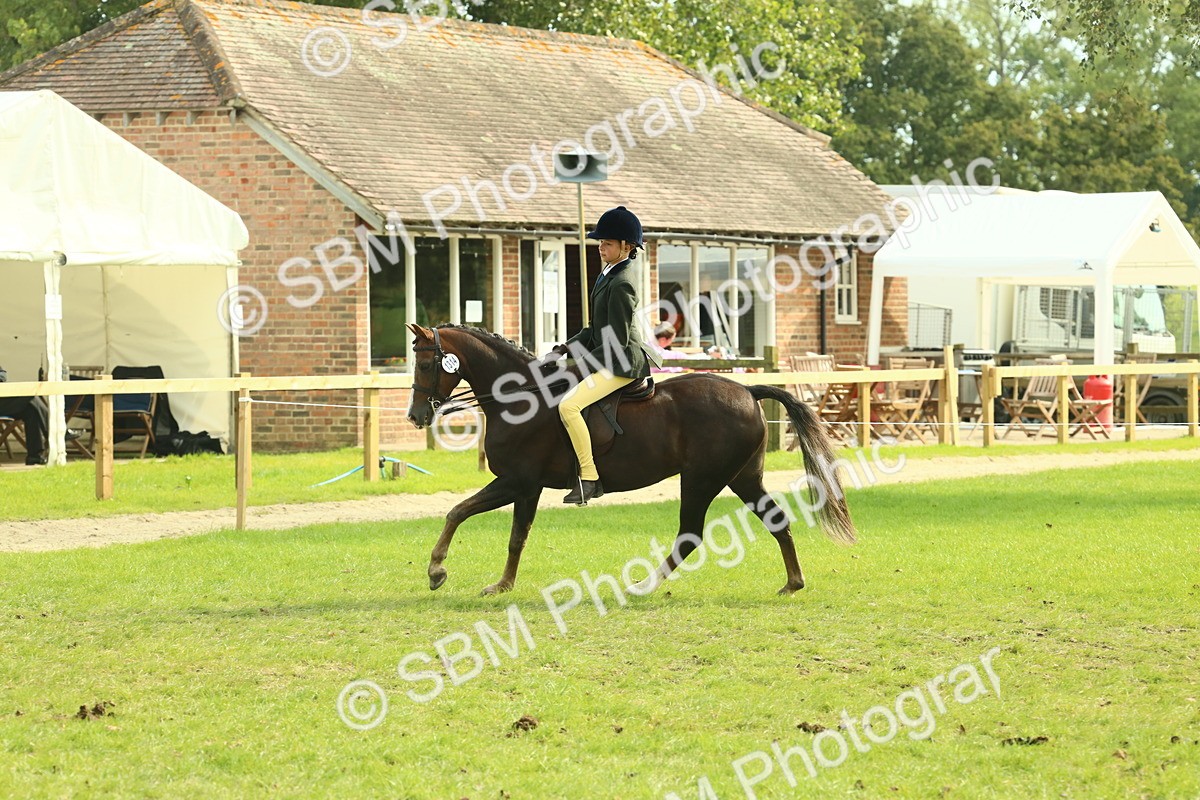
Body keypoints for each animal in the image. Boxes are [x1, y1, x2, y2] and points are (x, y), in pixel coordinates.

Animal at [404, 323, 856, 596]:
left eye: (426, 363)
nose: (415, 416)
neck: (521, 398)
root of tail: (748, 390)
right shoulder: (526, 487)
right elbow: (516, 536)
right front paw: (502, 585)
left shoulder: (517, 481)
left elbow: (458, 511)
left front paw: (437, 571)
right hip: (743, 477)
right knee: (776, 520)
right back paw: (793, 583)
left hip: (702, 479)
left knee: (690, 534)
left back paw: (642, 586)